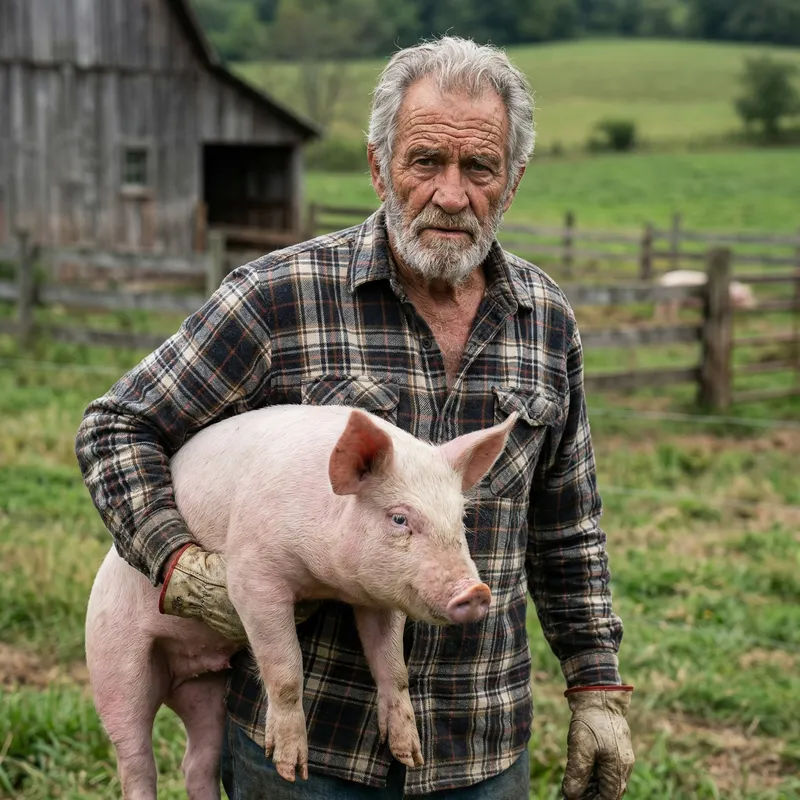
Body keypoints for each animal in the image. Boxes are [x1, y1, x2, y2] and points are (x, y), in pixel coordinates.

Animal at [85, 403, 518, 800]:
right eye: (399, 519)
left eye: (460, 519)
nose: (476, 592)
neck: (327, 581)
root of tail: (184, 670)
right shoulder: (251, 576)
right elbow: (284, 667)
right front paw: (291, 769)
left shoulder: (382, 596)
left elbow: (393, 667)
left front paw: (410, 755)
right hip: (114, 665)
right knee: (136, 760)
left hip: (206, 690)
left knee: (197, 761)